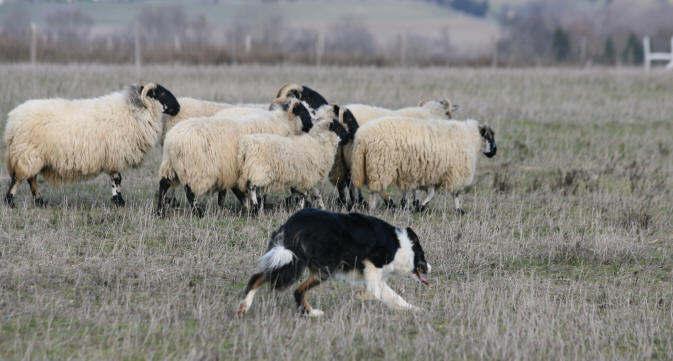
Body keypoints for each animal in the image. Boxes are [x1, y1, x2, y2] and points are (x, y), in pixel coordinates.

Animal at [158, 97, 312, 217]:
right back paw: (198, 213)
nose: (311, 124)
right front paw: (256, 208)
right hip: (198, 169)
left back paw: (160, 212)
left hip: (170, 165)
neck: (282, 123)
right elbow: (260, 192)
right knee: (190, 191)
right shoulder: (261, 165)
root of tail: (172, 139)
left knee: (164, 184)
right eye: (303, 110)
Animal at [350, 118, 496, 212]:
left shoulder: (433, 172)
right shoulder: (455, 172)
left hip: (372, 166)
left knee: (374, 188)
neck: (472, 139)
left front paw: (418, 205)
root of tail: (361, 138)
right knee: (376, 189)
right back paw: (382, 204)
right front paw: (458, 210)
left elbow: (431, 192)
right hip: (381, 165)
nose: (495, 151)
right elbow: (455, 193)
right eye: (490, 136)